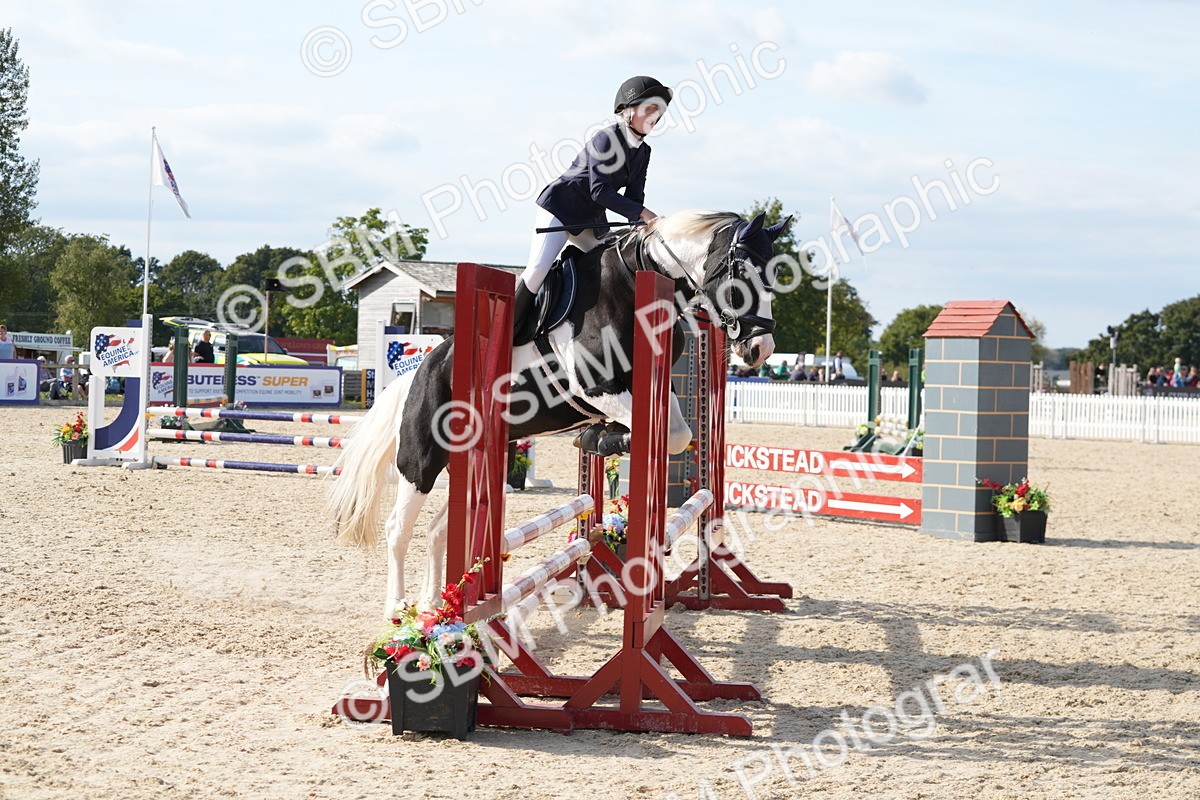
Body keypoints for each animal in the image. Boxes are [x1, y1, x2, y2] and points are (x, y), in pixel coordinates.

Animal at [327, 209, 792, 614]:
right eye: (742, 273)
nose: (760, 348)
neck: (630, 284)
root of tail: (416, 374)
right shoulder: (598, 387)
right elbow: (666, 433)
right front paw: (605, 438)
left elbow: (676, 433)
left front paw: (600, 438)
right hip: (423, 460)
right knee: (398, 528)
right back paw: (398, 608)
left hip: (479, 457)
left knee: (441, 528)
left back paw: (435, 604)